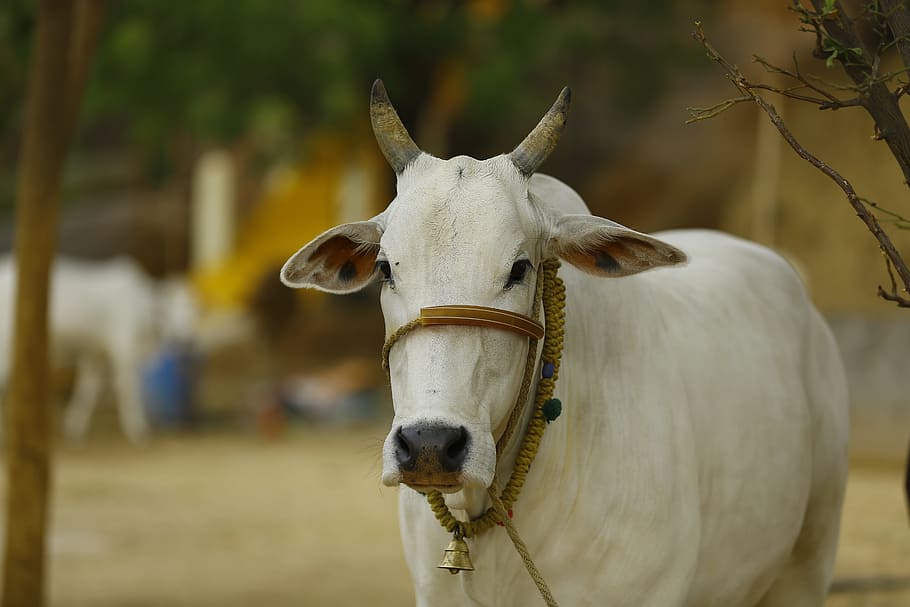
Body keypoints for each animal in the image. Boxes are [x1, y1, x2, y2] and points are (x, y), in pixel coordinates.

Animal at [0, 254, 198, 444]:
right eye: (169, 310)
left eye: (194, 312)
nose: (188, 339)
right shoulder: (123, 351)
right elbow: (129, 390)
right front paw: (138, 430)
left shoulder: (96, 354)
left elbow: (88, 389)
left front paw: (74, 427)